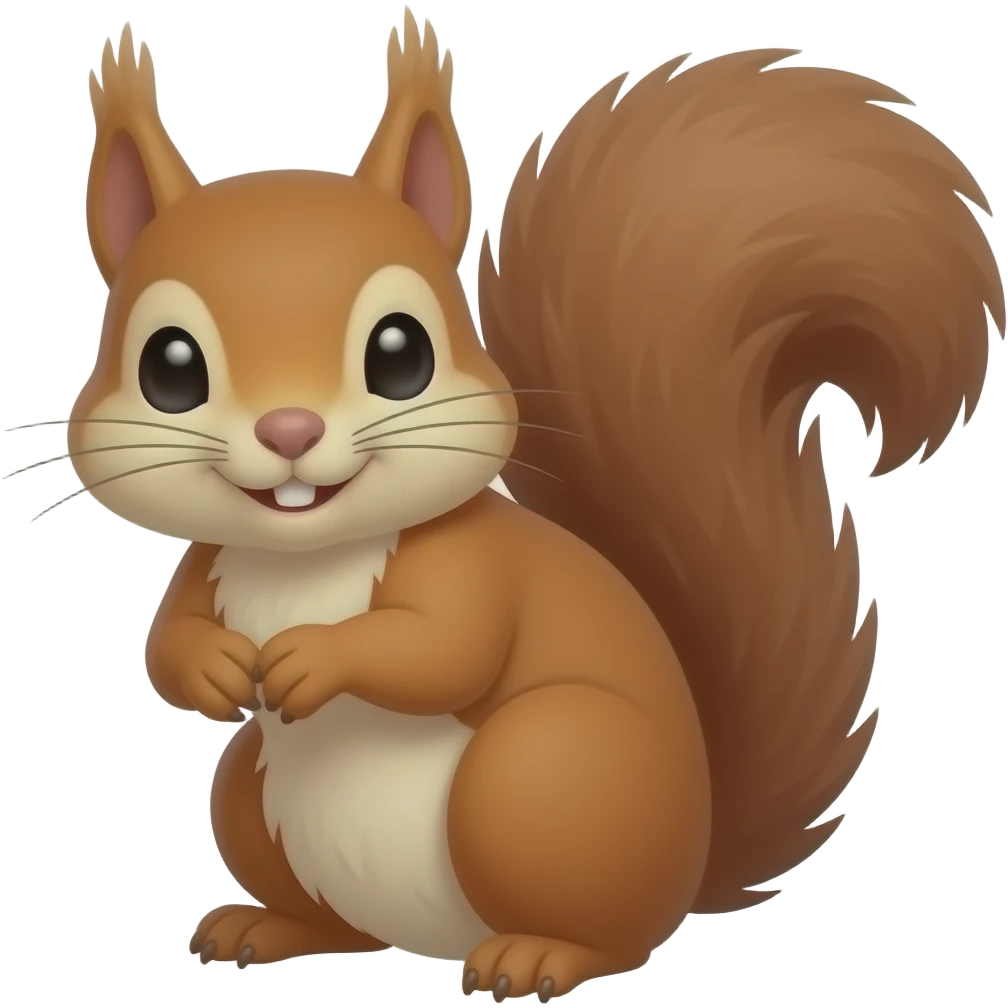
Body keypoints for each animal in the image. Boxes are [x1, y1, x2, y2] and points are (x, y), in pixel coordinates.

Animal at [71, 13, 1003, 1000]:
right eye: (169, 368)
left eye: (400, 354)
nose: (290, 428)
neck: (308, 554)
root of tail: (691, 864)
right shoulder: (206, 562)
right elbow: (166, 642)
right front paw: (213, 667)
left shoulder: (470, 563)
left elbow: (443, 648)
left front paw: (315, 657)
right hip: (251, 791)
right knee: (339, 920)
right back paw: (269, 925)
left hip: (541, 771)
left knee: (611, 933)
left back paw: (540, 955)